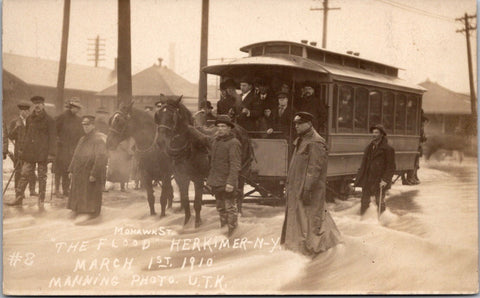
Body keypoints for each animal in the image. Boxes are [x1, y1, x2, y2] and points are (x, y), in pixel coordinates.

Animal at [154, 96, 210, 227]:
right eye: (158, 115)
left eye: (172, 116)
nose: (160, 141)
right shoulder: (181, 176)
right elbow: (185, 199)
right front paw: (186, 222)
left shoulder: (199, 178)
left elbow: (197, 202)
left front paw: (197, 224)